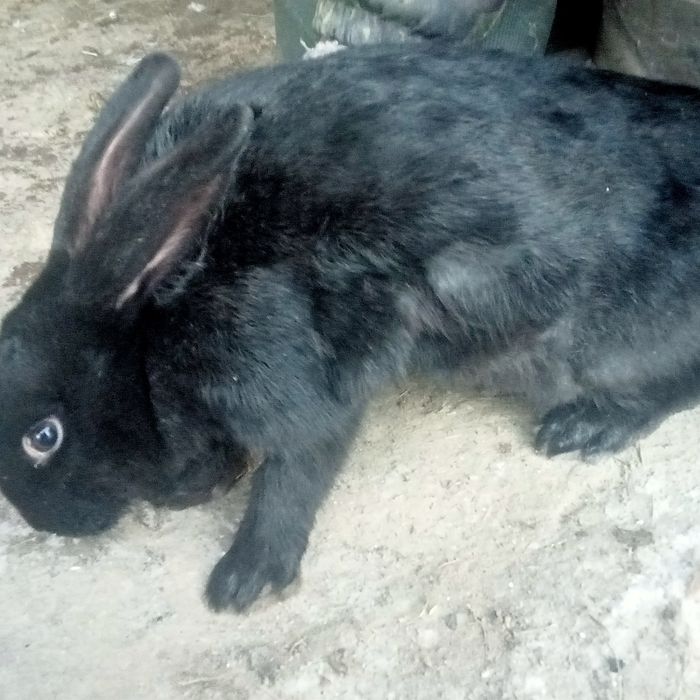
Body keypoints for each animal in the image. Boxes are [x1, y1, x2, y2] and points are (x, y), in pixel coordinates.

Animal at [1, 42, 700, 612]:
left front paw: (243, 580)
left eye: (44, 437)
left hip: (603, 345)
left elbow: (296, 470)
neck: (153, 317)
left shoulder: (277, 371)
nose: (50, 524)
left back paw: (583, 428)